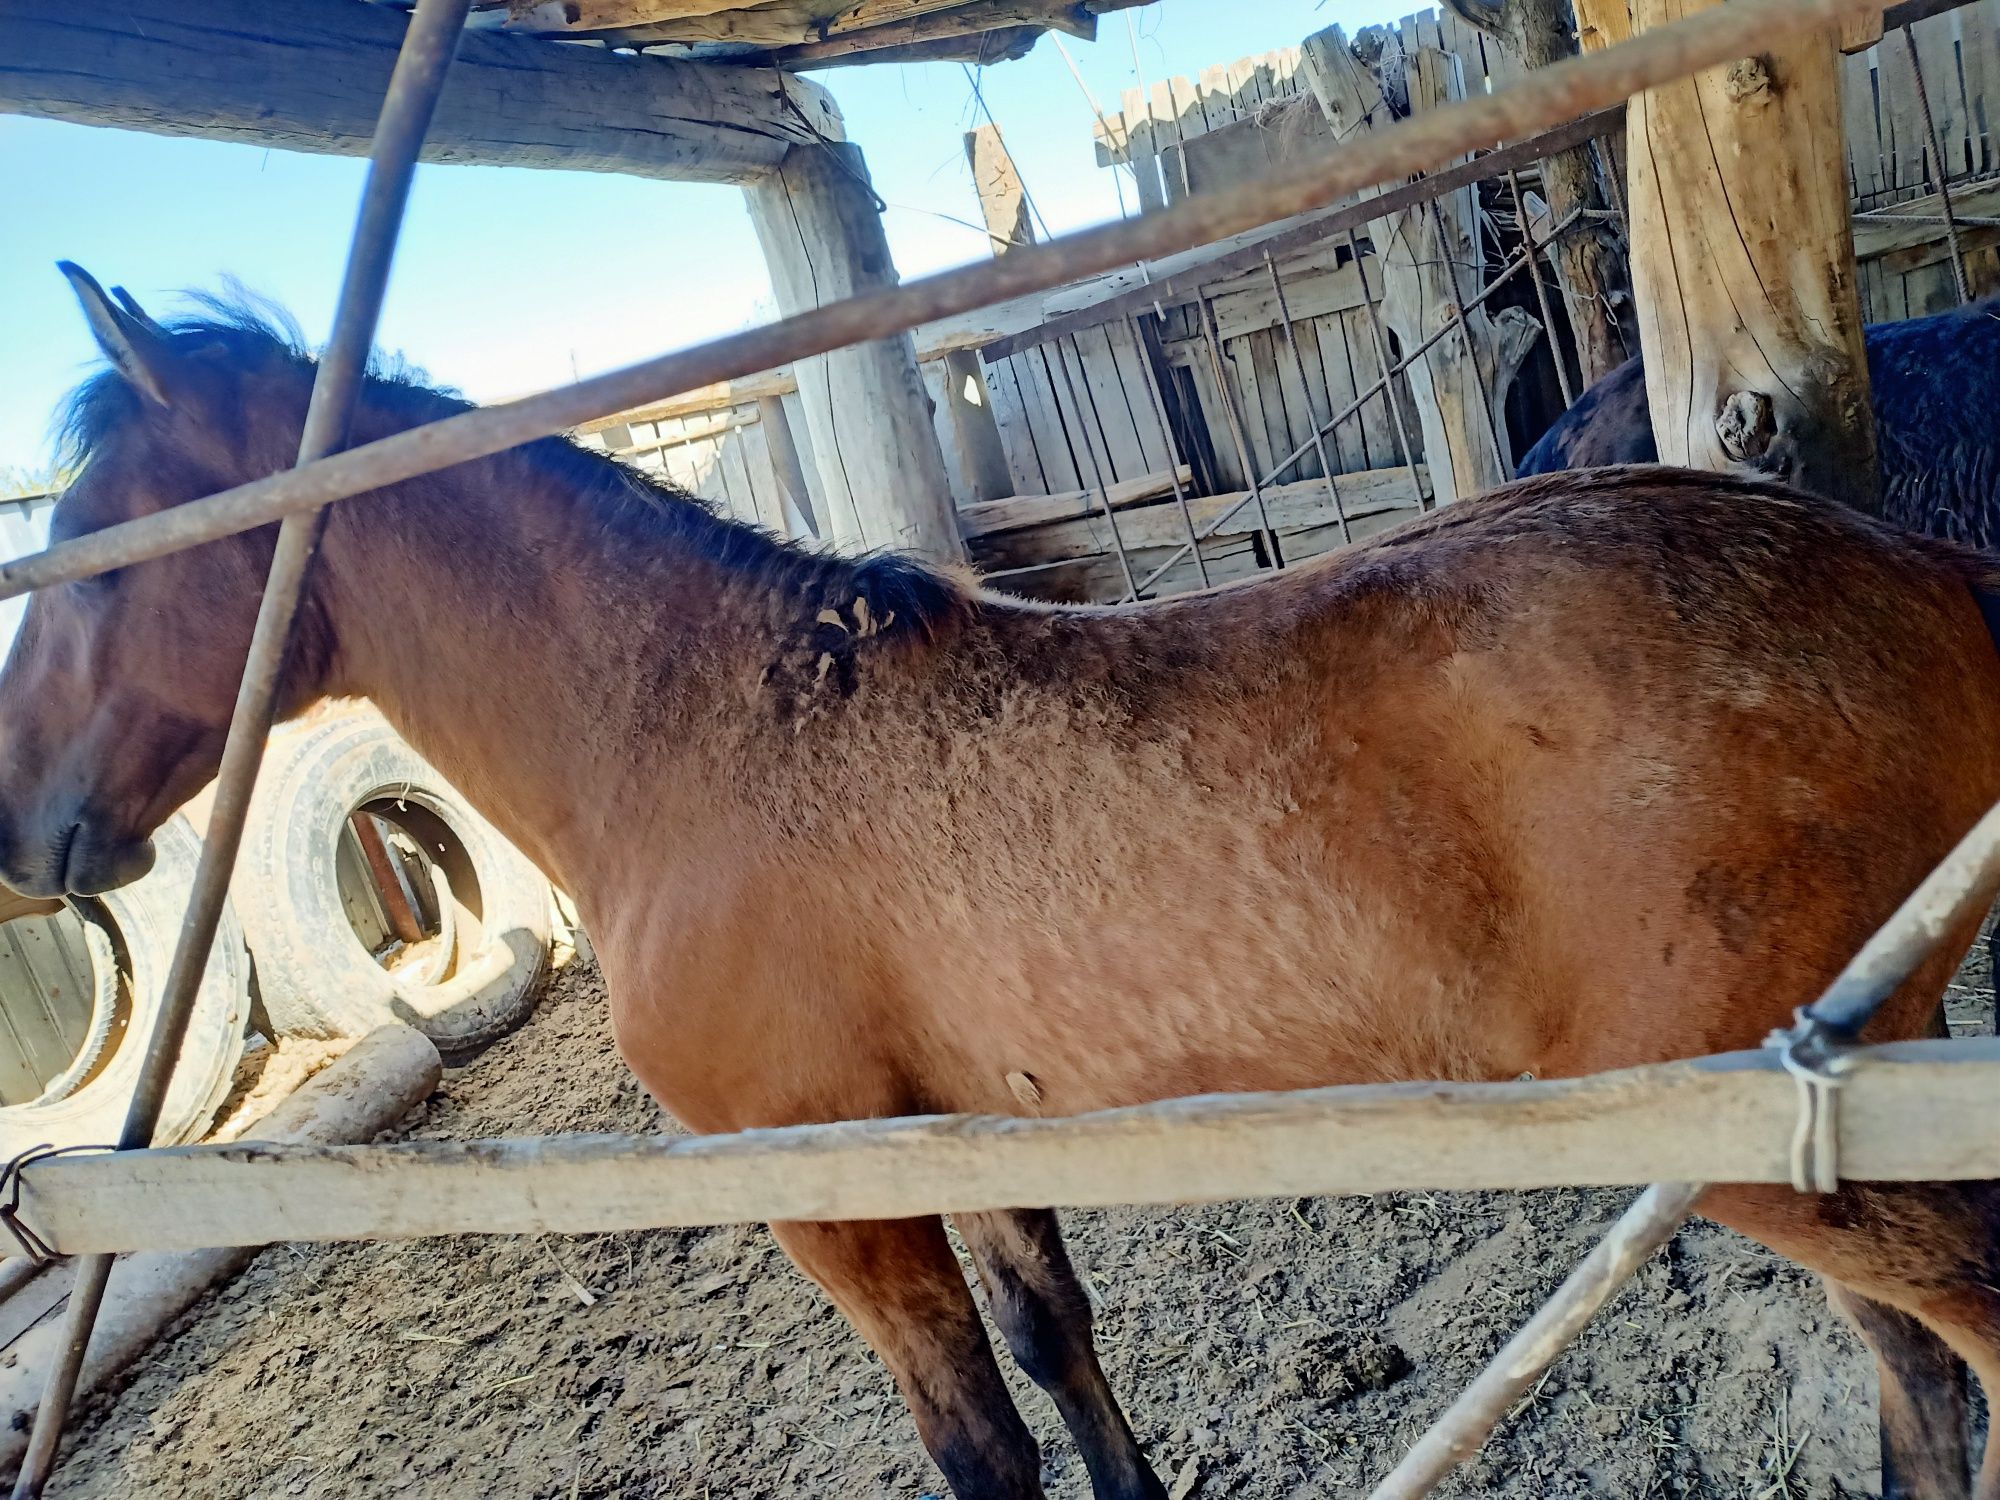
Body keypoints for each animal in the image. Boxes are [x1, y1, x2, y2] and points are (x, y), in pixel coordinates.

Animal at [11, 264, 2000, 1496]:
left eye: (91, 544)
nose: (29, 833)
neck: (694, 733)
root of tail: (1921, 574)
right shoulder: (974, 1136)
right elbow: (1063, 1356)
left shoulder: (839, 1197)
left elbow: (980, 1443)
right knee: (1920, 1396)